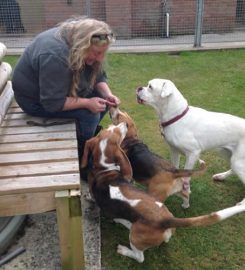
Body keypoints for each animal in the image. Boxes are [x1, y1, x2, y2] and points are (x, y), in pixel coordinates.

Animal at [82, 123, 245, 262]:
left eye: (116, 131)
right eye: (111, 130)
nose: (125, 125)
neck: (105, 168)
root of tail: (165, 220)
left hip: (134, 237)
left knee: (140, 258)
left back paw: (124, 250)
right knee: (185, 195)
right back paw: (185, 205)